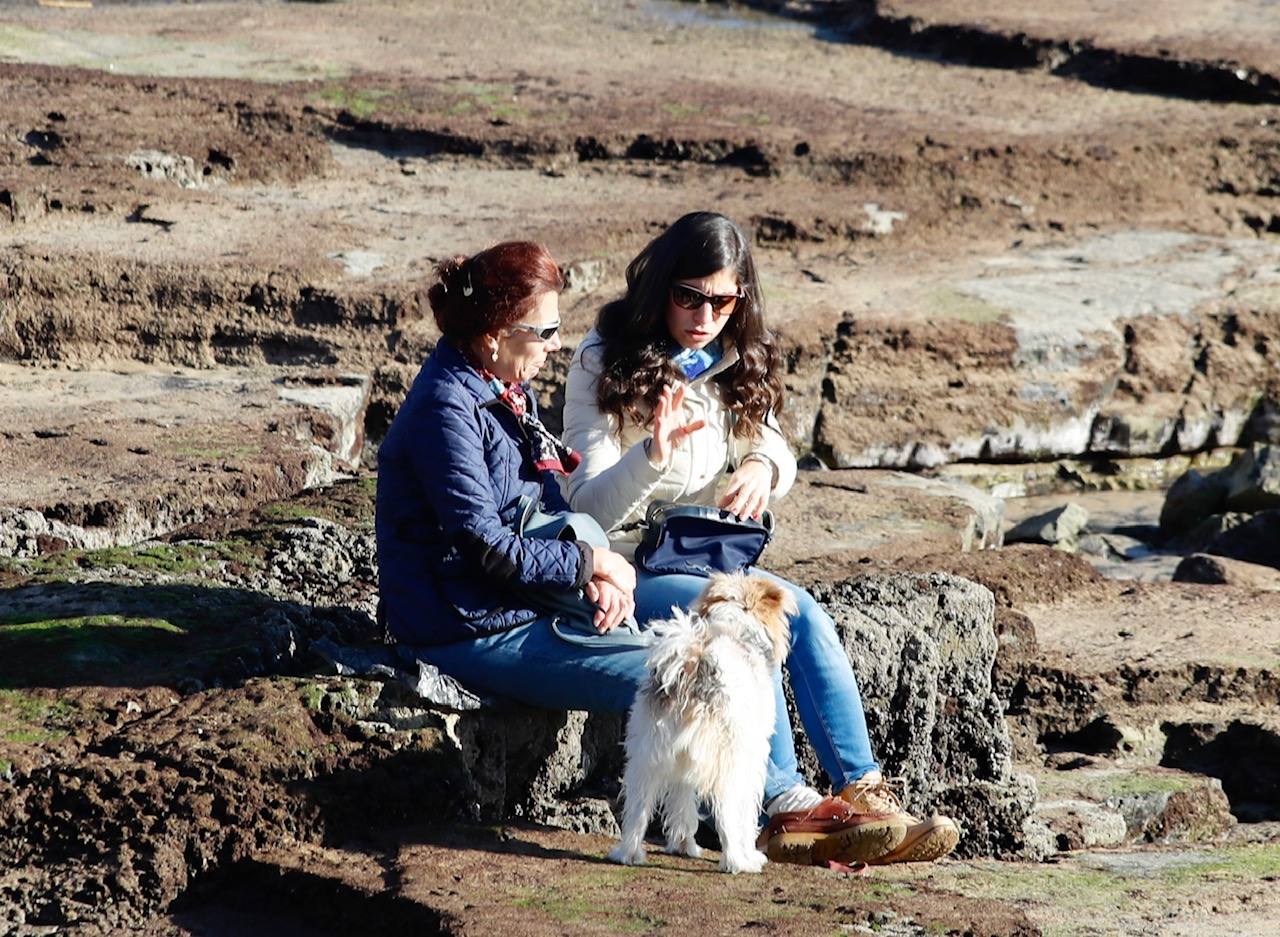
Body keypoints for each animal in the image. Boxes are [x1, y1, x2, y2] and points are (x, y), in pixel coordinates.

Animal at [606, 573, 793, 875]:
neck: (736, 631)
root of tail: (694, 666)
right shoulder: (753, 759)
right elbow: (744, 815)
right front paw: (750, 853)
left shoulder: (683, 760)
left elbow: (683, 803)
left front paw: (683, 845)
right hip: (729, 764)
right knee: (727, 817)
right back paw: (737, 862)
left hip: (645, 757)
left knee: (637, 810)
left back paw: (627, 854)